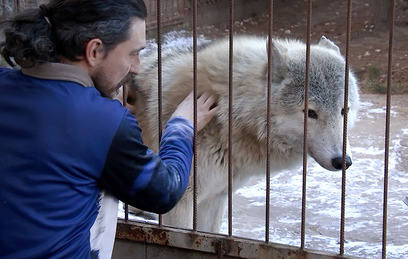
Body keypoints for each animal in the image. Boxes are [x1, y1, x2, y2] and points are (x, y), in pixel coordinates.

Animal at [125, 35, 360, 234]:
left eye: (344, 110)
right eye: (311, 113)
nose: (343, 161)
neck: (226, 111)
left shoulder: (214, 198)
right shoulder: (180, 201)